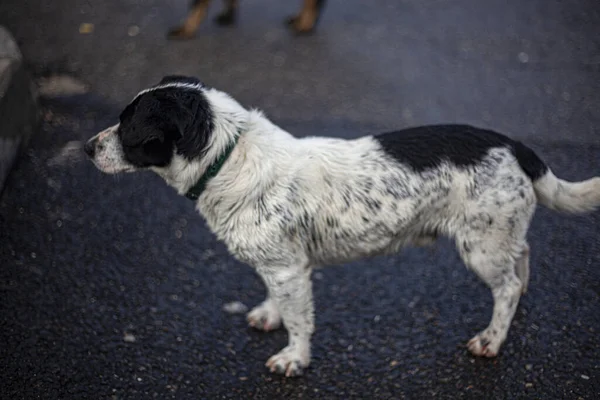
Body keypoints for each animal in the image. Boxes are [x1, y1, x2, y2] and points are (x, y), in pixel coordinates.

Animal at [84, 76, 600, 378]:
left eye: (130, 128)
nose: (87, 148)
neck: (228, 158)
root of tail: (516, 146)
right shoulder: (277, 265)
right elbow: (276, 301)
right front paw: (269, 315)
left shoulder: (290, 269)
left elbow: (299, 320)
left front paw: (294, 358)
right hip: (499, 235)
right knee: (522, 259)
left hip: (481, 246)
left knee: (506, 287)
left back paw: (492, 339)